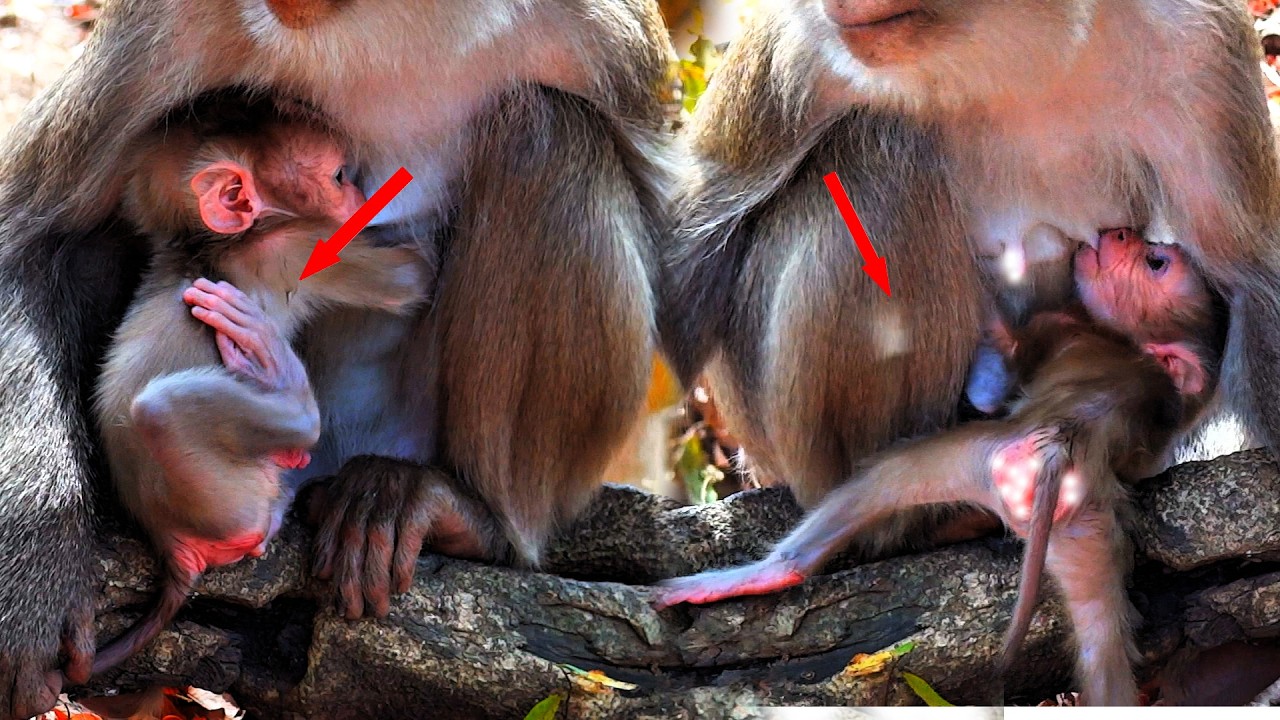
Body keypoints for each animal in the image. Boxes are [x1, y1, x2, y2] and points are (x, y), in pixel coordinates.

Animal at [91, 118, 429, 673]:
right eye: (339, 176)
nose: (361, 196)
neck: (203, 247)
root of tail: (172, 550)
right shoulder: (296, 245)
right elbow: (409, 278)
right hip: (226, 496)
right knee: (158, 410)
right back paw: (283, 384)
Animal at [658, 231, 1229, 705]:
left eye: (1156, 263)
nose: (1123, 232)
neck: (1132, 348)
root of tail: (1057, 453)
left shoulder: (1063, 329)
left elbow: (996, 379)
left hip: (977, 455)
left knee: (884, 475)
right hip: (1081, 520)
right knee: (1101, 647)